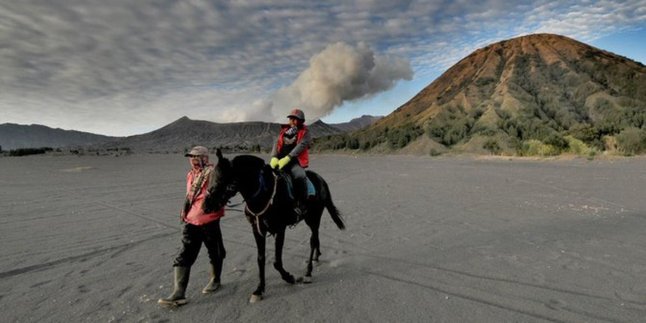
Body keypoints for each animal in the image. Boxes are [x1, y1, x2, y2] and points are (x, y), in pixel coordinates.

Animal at [210, 151, 346, 302]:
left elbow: (276, 261)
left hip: (313, 218)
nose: (207, 204)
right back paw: (316, 257)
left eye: (227, 182)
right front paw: (259, 289)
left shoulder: (280, 230)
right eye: (212, 177)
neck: (265, 195)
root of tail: (320, 179)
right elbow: (260, 259)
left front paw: (289, 277)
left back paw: (308, 272)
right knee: (316, 238)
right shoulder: (257, 231)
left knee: (313, 240)